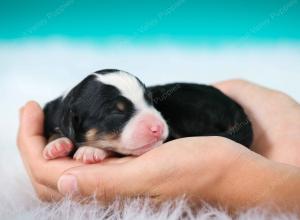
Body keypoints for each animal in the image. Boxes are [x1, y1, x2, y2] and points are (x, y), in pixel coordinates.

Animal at [42, 69, 253, 163]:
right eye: (116, 112)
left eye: (150, 100)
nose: (158, 128)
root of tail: (237, 110)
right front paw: (56, 145)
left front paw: (90, 150)